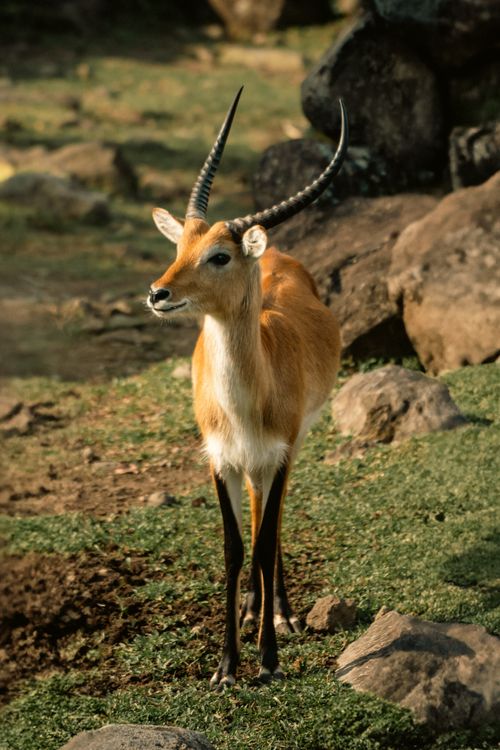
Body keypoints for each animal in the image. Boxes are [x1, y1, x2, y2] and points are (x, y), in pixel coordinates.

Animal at [148, 87, 348, 689]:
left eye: (220, 254)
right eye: (180, 246)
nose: (158, 293)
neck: (242, 405)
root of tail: (278, 254)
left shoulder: (277, 453)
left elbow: (262, 542)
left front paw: (268, 657)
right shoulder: (221, 459)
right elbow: (236, 549)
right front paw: (226, 665)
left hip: (290, 449)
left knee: (273, 524)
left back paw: (280, 614)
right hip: (253, 464)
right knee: (261, 521)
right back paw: (256, 610)